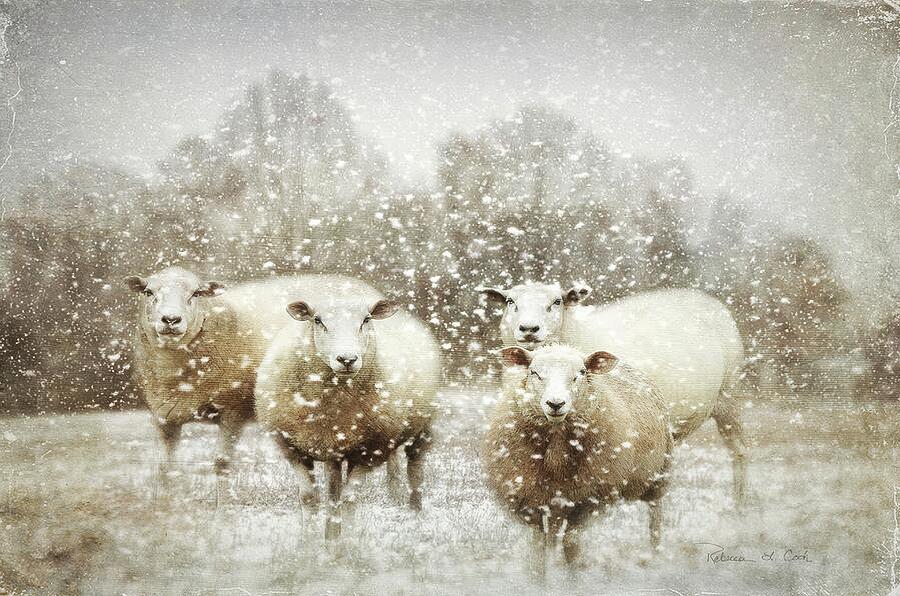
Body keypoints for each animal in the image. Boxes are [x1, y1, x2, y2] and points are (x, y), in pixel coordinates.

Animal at [255, 280, 442, 540]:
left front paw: (347, 546)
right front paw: (309, 543)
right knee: (335, 489)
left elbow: (350, 499)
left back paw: (415, 512)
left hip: (423, 426)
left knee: (415, 468)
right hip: (333, 447)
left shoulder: (370, 450)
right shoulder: (292, 447)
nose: (347, 359)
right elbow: (310, 497)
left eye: (366, 320)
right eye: (317, 320)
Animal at [482, 284, 748, 502]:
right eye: (510, 301)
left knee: (739, 451)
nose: (529, 328)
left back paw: (740, 506)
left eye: (557, 302)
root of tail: (706, 298)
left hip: (729, 395)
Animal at [482, 344, 672, 576]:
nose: (555, 403)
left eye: (581, 373)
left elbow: (571, 545)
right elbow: (538, 549)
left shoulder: (588, 502)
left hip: (659, 476)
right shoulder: (530, 502)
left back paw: (655, 557)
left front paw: (574, 577)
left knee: (655, 518)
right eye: (534, 372)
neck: (556, 455)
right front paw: (539, 579)